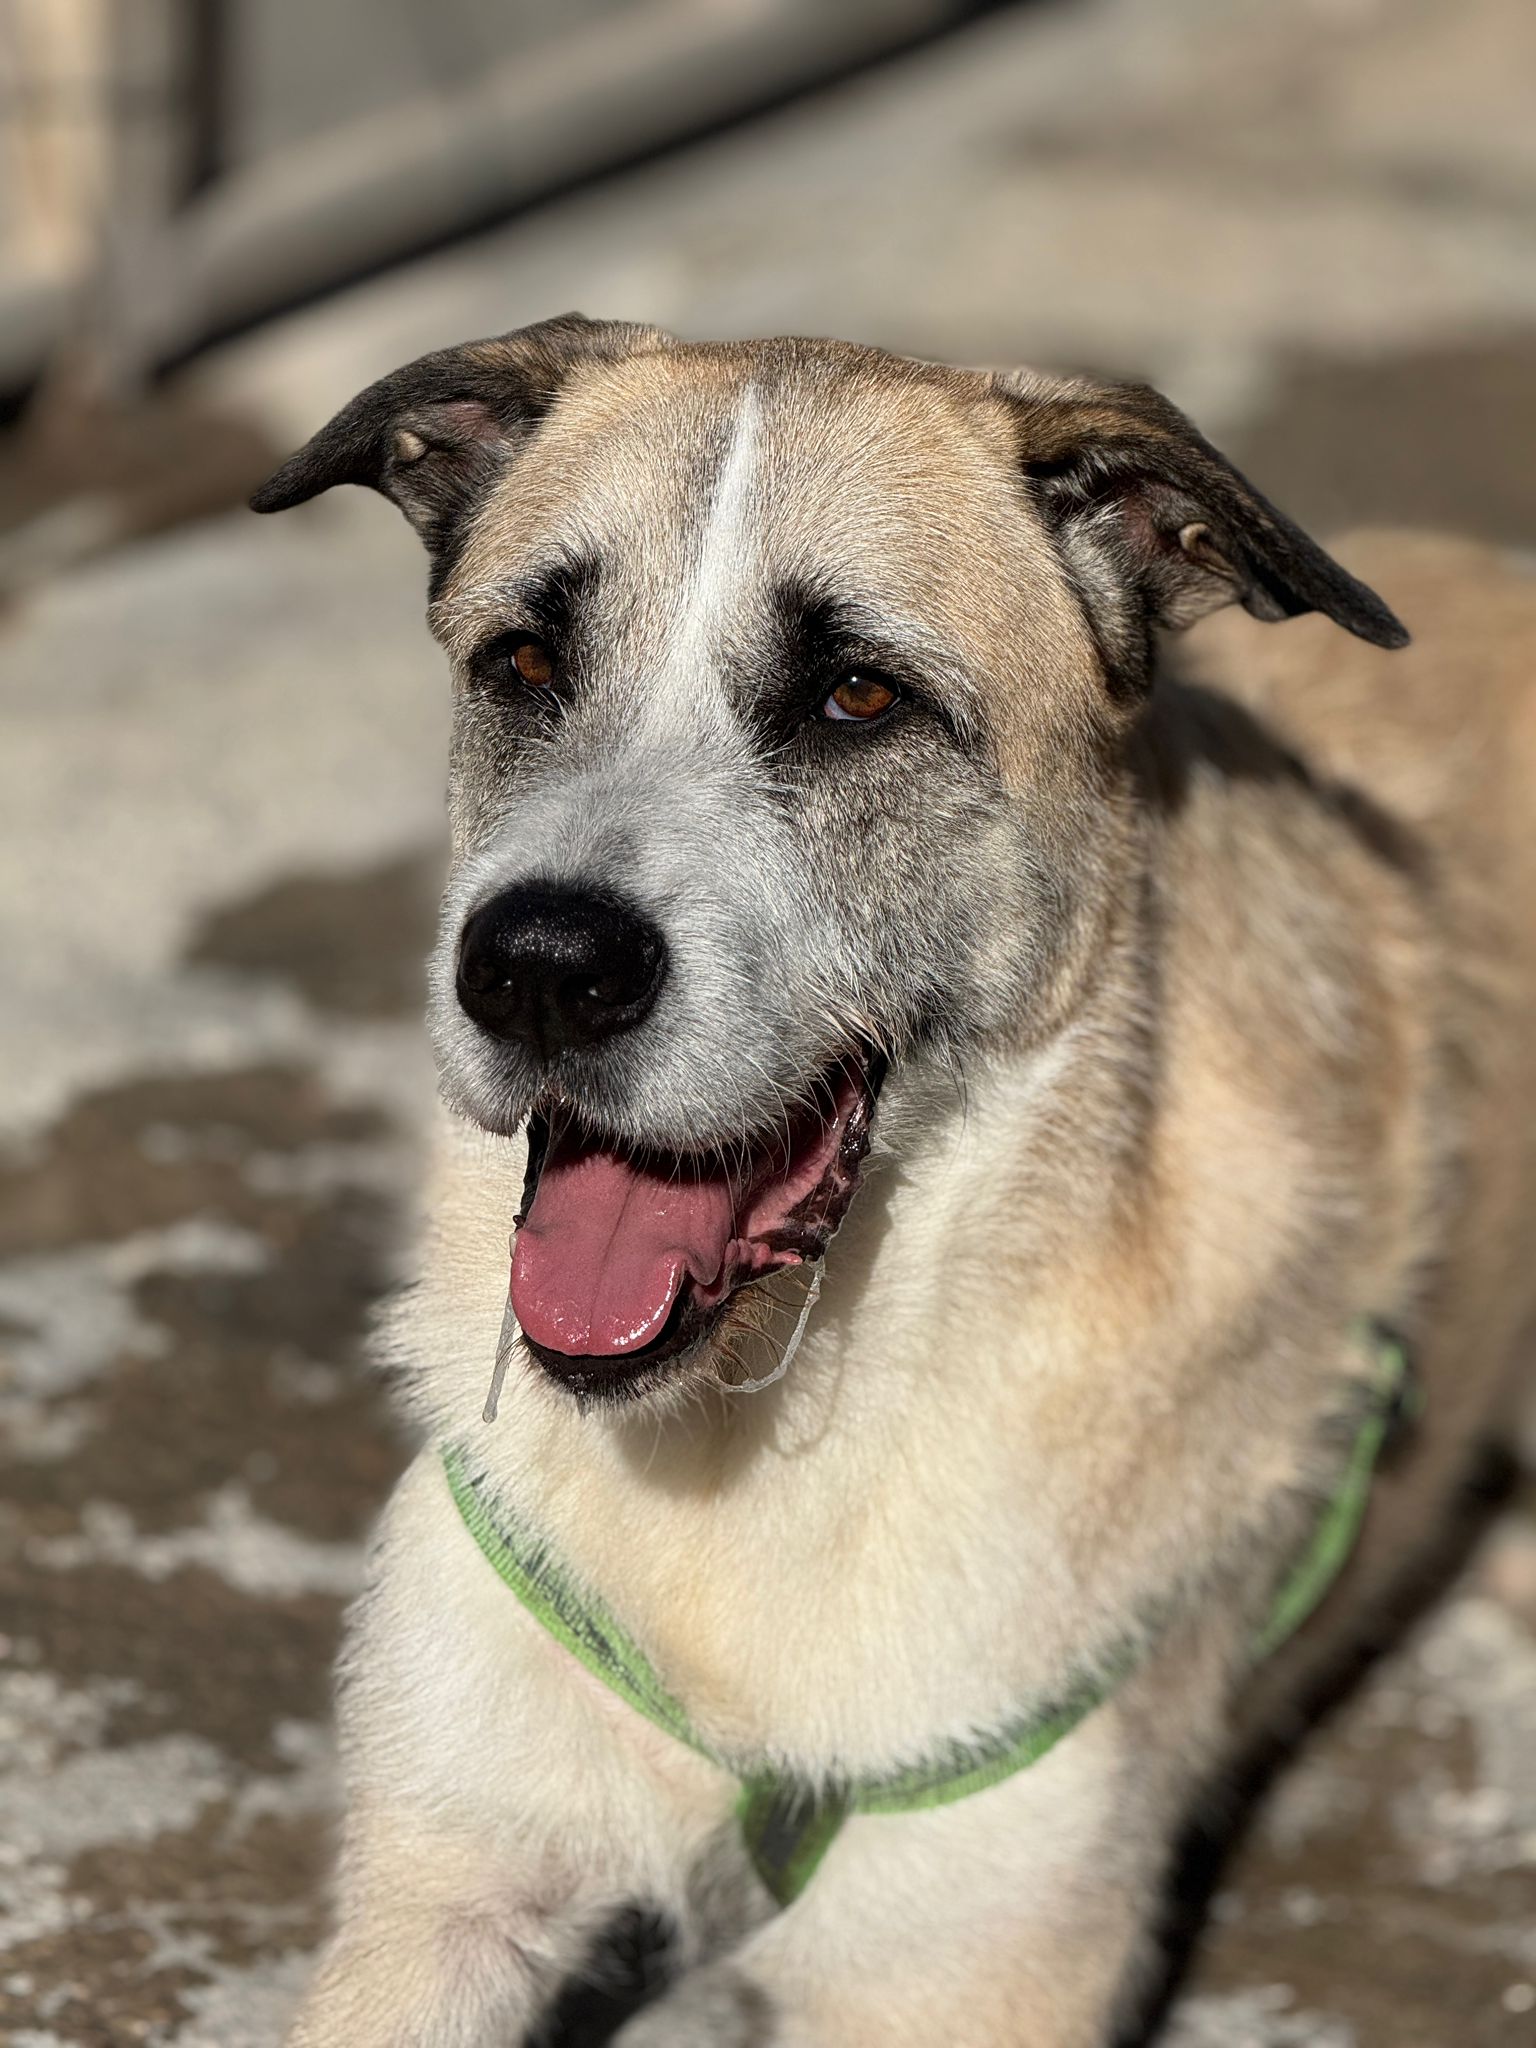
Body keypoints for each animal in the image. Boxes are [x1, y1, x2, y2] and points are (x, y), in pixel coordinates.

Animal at [251, 318, 1536, 2047]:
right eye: (521, 662)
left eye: (856, 696)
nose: (536, 971)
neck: (747, 1457)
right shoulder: (440, 1895)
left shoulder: (960, 1979)